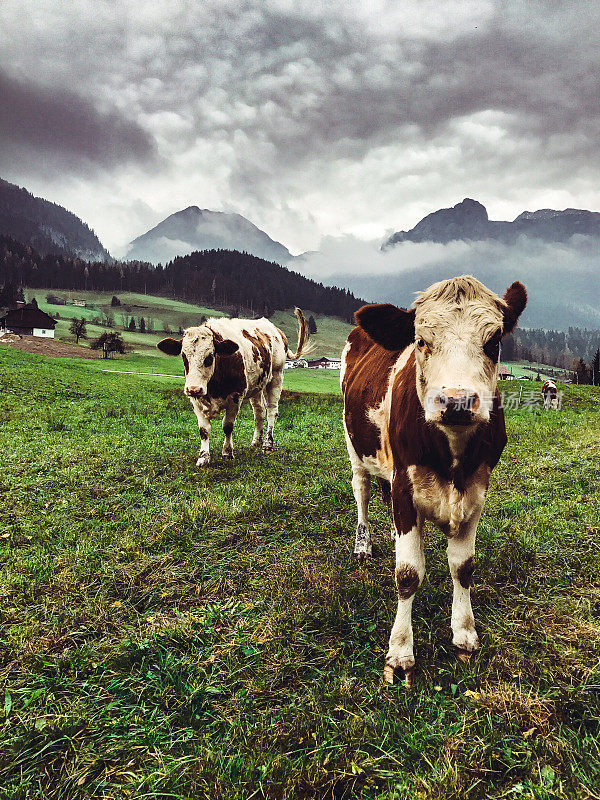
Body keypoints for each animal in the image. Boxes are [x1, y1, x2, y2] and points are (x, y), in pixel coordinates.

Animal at [157, 310, 310, 466]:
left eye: (209, 357)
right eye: (183, 356)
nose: (194, 388)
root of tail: (276, 331)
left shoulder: (235, 397)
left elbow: (228, 426)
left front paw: (227, 452)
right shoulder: (196, 400)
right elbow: (204, 430)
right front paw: (203, 457)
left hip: (276, 377)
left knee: (272, 411)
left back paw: (267, 444)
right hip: (256, 386)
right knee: (259, 411)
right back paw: (257, 441)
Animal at [342, 276, 524, 688]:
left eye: (494, 341)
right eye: (421, 341)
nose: (457, 402)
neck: (452, 455)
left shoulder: (476, 492)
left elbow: (463, 566)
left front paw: (464, 633)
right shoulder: (404, 490)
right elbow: (408, 573)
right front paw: (400, 653)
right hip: (355, 447)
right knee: (362, 492)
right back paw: (363, 545)